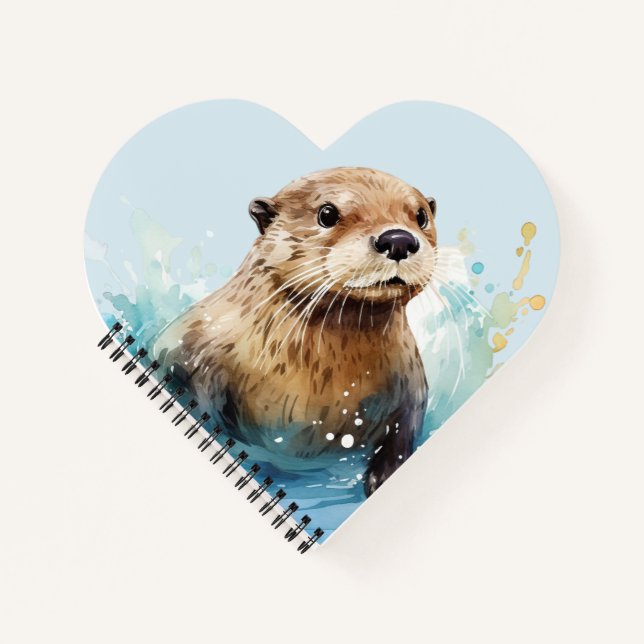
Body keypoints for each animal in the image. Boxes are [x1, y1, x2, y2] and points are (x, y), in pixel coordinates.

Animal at [153, 167, 437, 496]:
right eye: (327, 213)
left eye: (421, 216)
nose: (399, 239)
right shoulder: (187, 347)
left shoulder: (410, 384)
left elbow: (405, 427)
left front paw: (382, 476)